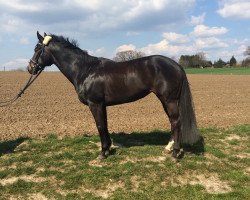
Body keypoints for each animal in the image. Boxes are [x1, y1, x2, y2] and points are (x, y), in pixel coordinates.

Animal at [27, 31, 200, 159]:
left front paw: (103, 153)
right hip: (166, 100)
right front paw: (108, 148)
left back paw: (175, 153)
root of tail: (176, 65)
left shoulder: (95, 104)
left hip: (169, 100)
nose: (30, 68)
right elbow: (105, 125)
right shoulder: (102, 105)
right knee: (173, 122)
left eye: (36, 48)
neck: (85, 70)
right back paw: (169, 148)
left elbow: (100, 125)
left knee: (176, 122)